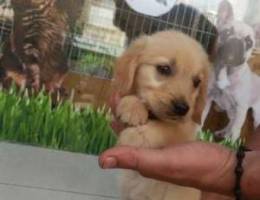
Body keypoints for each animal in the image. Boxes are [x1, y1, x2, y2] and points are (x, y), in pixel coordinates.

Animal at [114, 30, 211, 200]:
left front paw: (133, 136)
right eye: (164, 69)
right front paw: (132, 107)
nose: (182, 108)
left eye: (196, 82)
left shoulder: (183, 130)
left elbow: (165, 128)